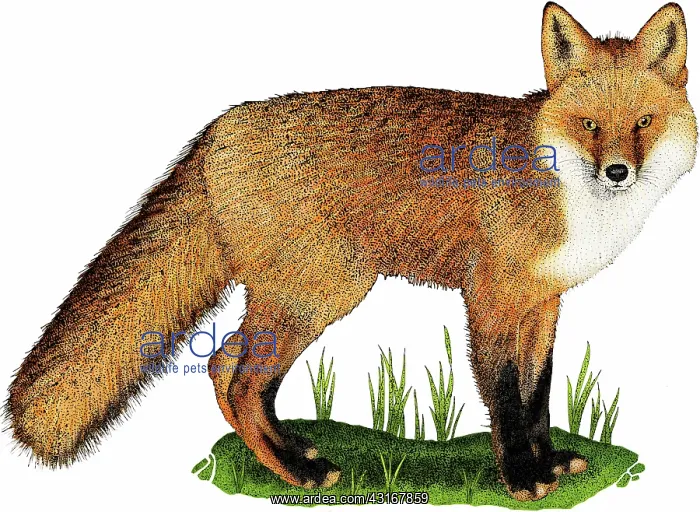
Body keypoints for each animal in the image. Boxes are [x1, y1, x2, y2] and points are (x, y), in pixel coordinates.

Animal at [6, 2, 696, 502]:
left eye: (643, 122)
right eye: (589, 124)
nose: (616, 172)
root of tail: (221, 126)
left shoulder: (543, 303)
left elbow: (538, 396)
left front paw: (549, 463)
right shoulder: (491, 301)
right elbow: (504, 400)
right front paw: (523, 478)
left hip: (305, 295)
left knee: (227, 369)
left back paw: (292, 454)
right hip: (322, 292)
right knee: (237, 376)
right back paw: (298, 474)